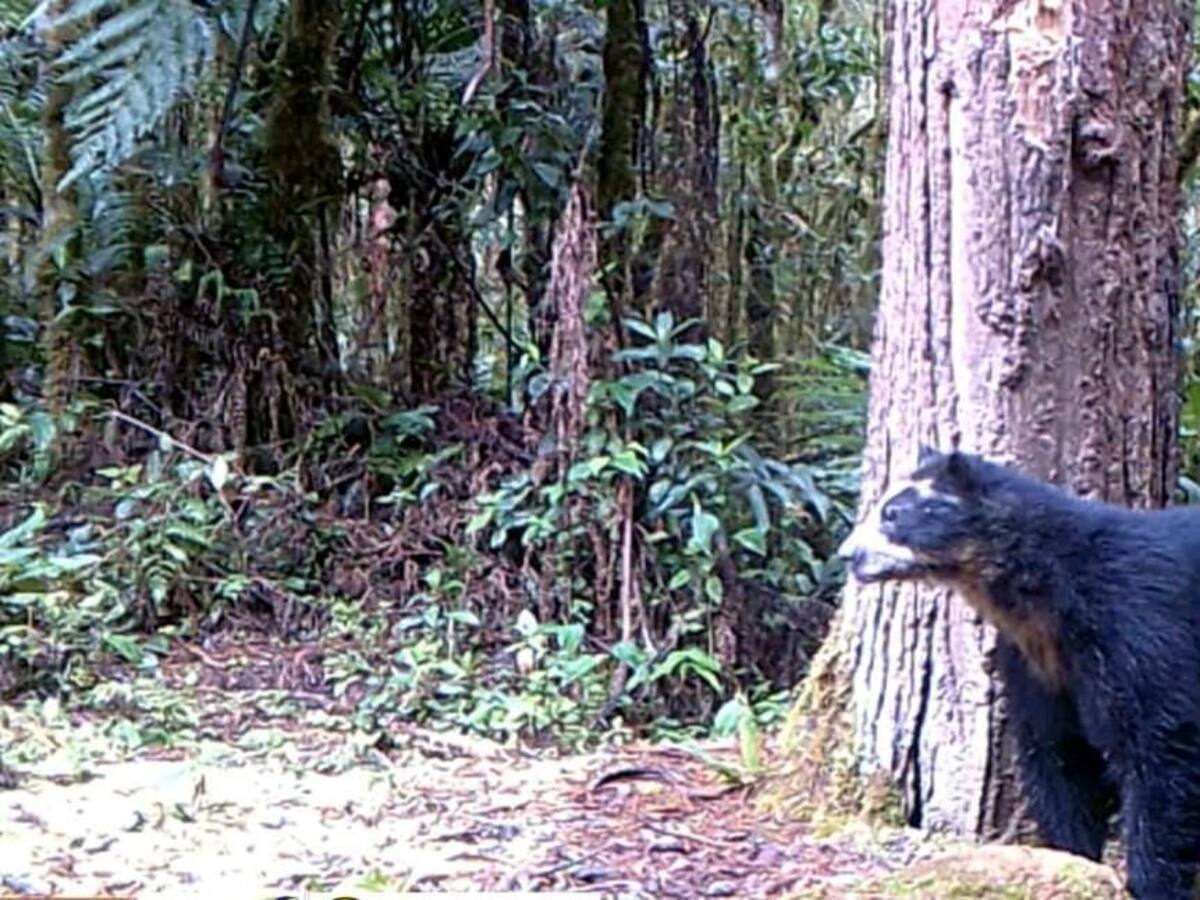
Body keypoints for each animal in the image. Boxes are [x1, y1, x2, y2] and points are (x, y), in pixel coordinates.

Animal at [837, 446, 1200, 900]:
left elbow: (1159, 752)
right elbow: (1057, 752)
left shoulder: (1142, 631)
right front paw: (1073, 858)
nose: (848, 555)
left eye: (893, 513)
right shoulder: (1037, 662)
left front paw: (1150, 881)